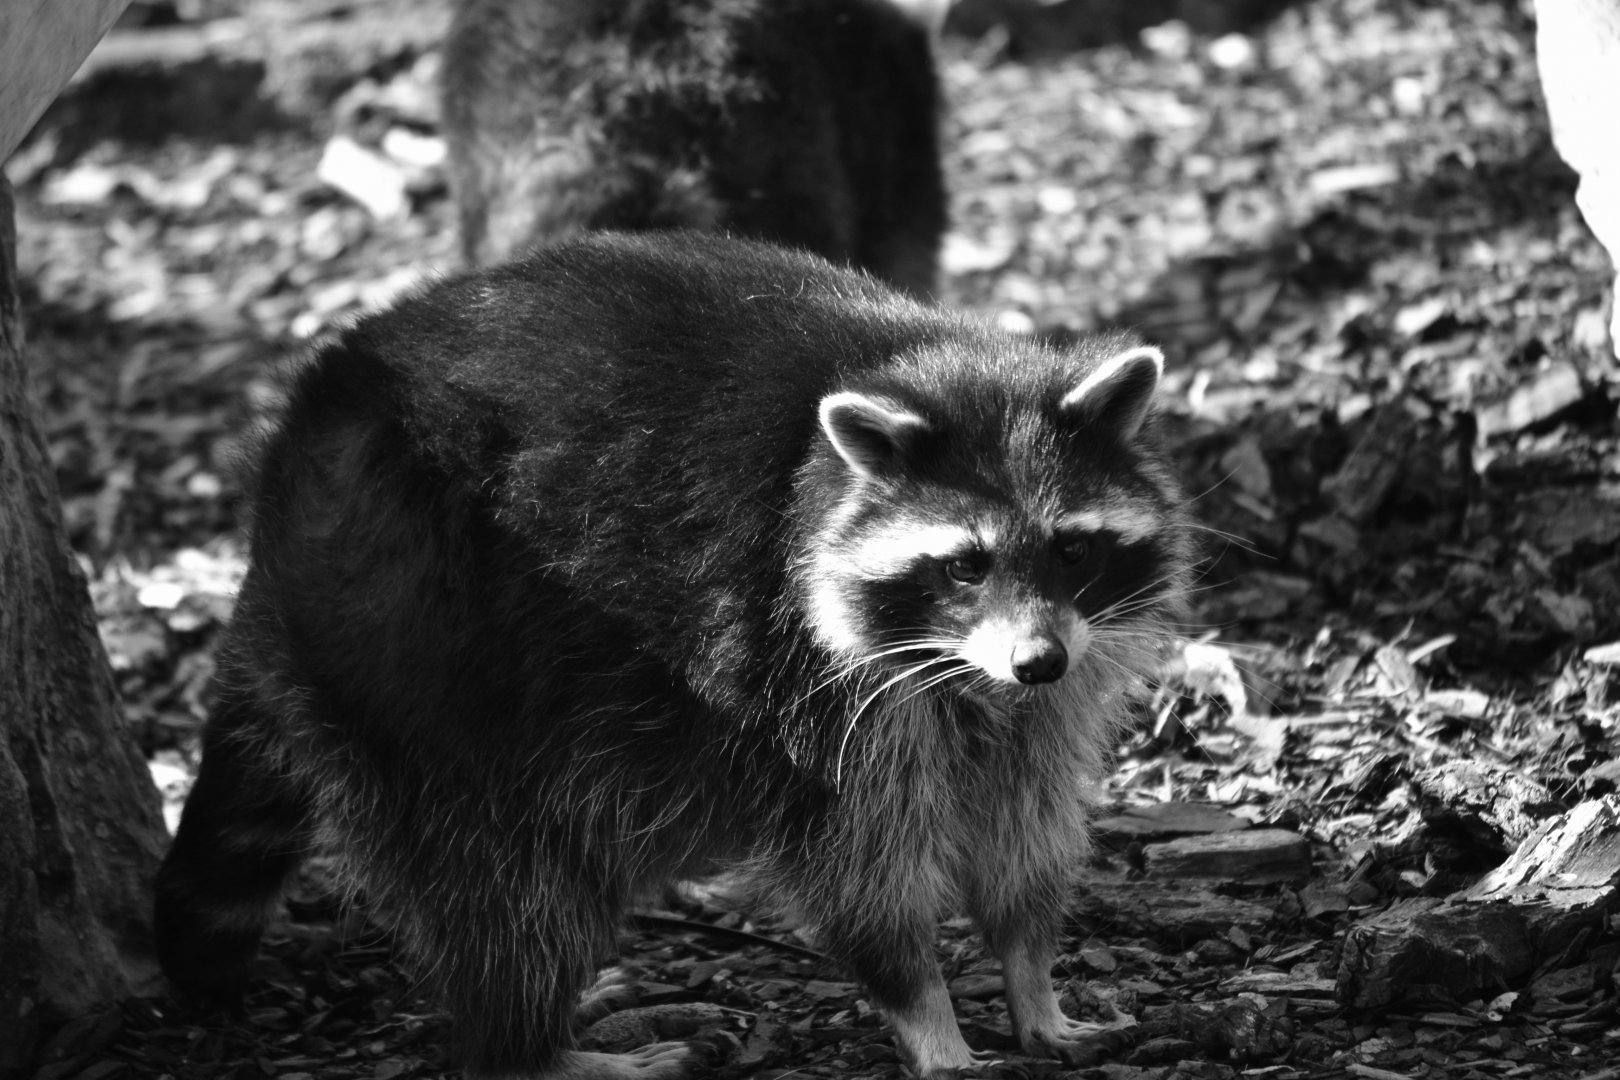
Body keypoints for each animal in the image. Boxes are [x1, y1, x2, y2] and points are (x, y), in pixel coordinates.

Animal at [153, 231, 1195, 1079]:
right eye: (966, 565)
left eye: (1072, 549)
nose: (1038, 662)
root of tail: (283, 474)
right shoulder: (802, 672)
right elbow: (860, 864)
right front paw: (925, 1009)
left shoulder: (1048, 677)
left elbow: (1027, 824)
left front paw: (1031, 975)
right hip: (409, 617)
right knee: (501, 873)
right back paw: (527, 1045)